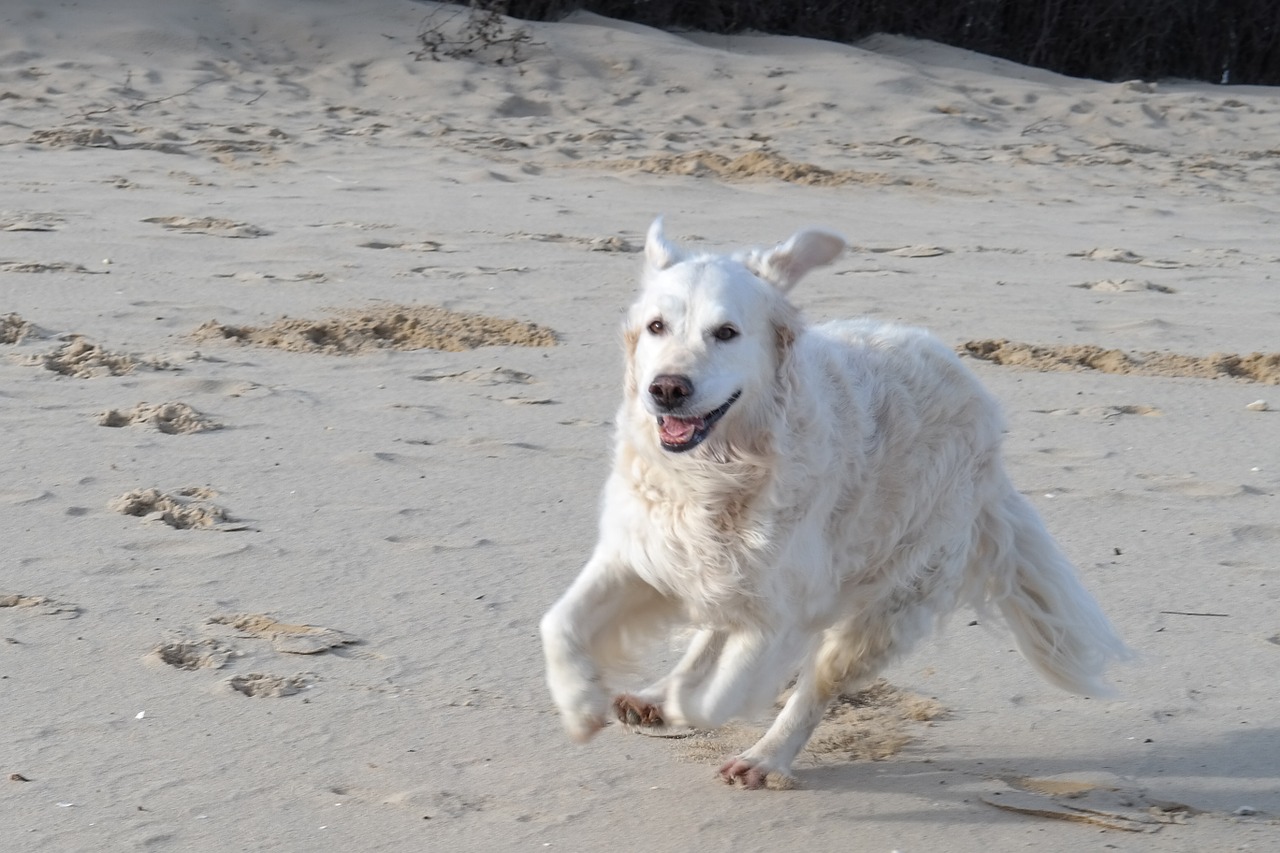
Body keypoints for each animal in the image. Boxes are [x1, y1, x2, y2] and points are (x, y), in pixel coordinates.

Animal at [540, 217, 1131, 783]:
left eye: (726, 332)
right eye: (656, 326)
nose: (666, 389)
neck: (718, 470)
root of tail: (985, 414)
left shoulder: (784, 609)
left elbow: (716, 697)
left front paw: (688, 708)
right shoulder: (644, 553)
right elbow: (559, 623)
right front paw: (581, 706)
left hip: (889, 601)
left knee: (815, 684)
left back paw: (763, 759)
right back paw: (654, 697)